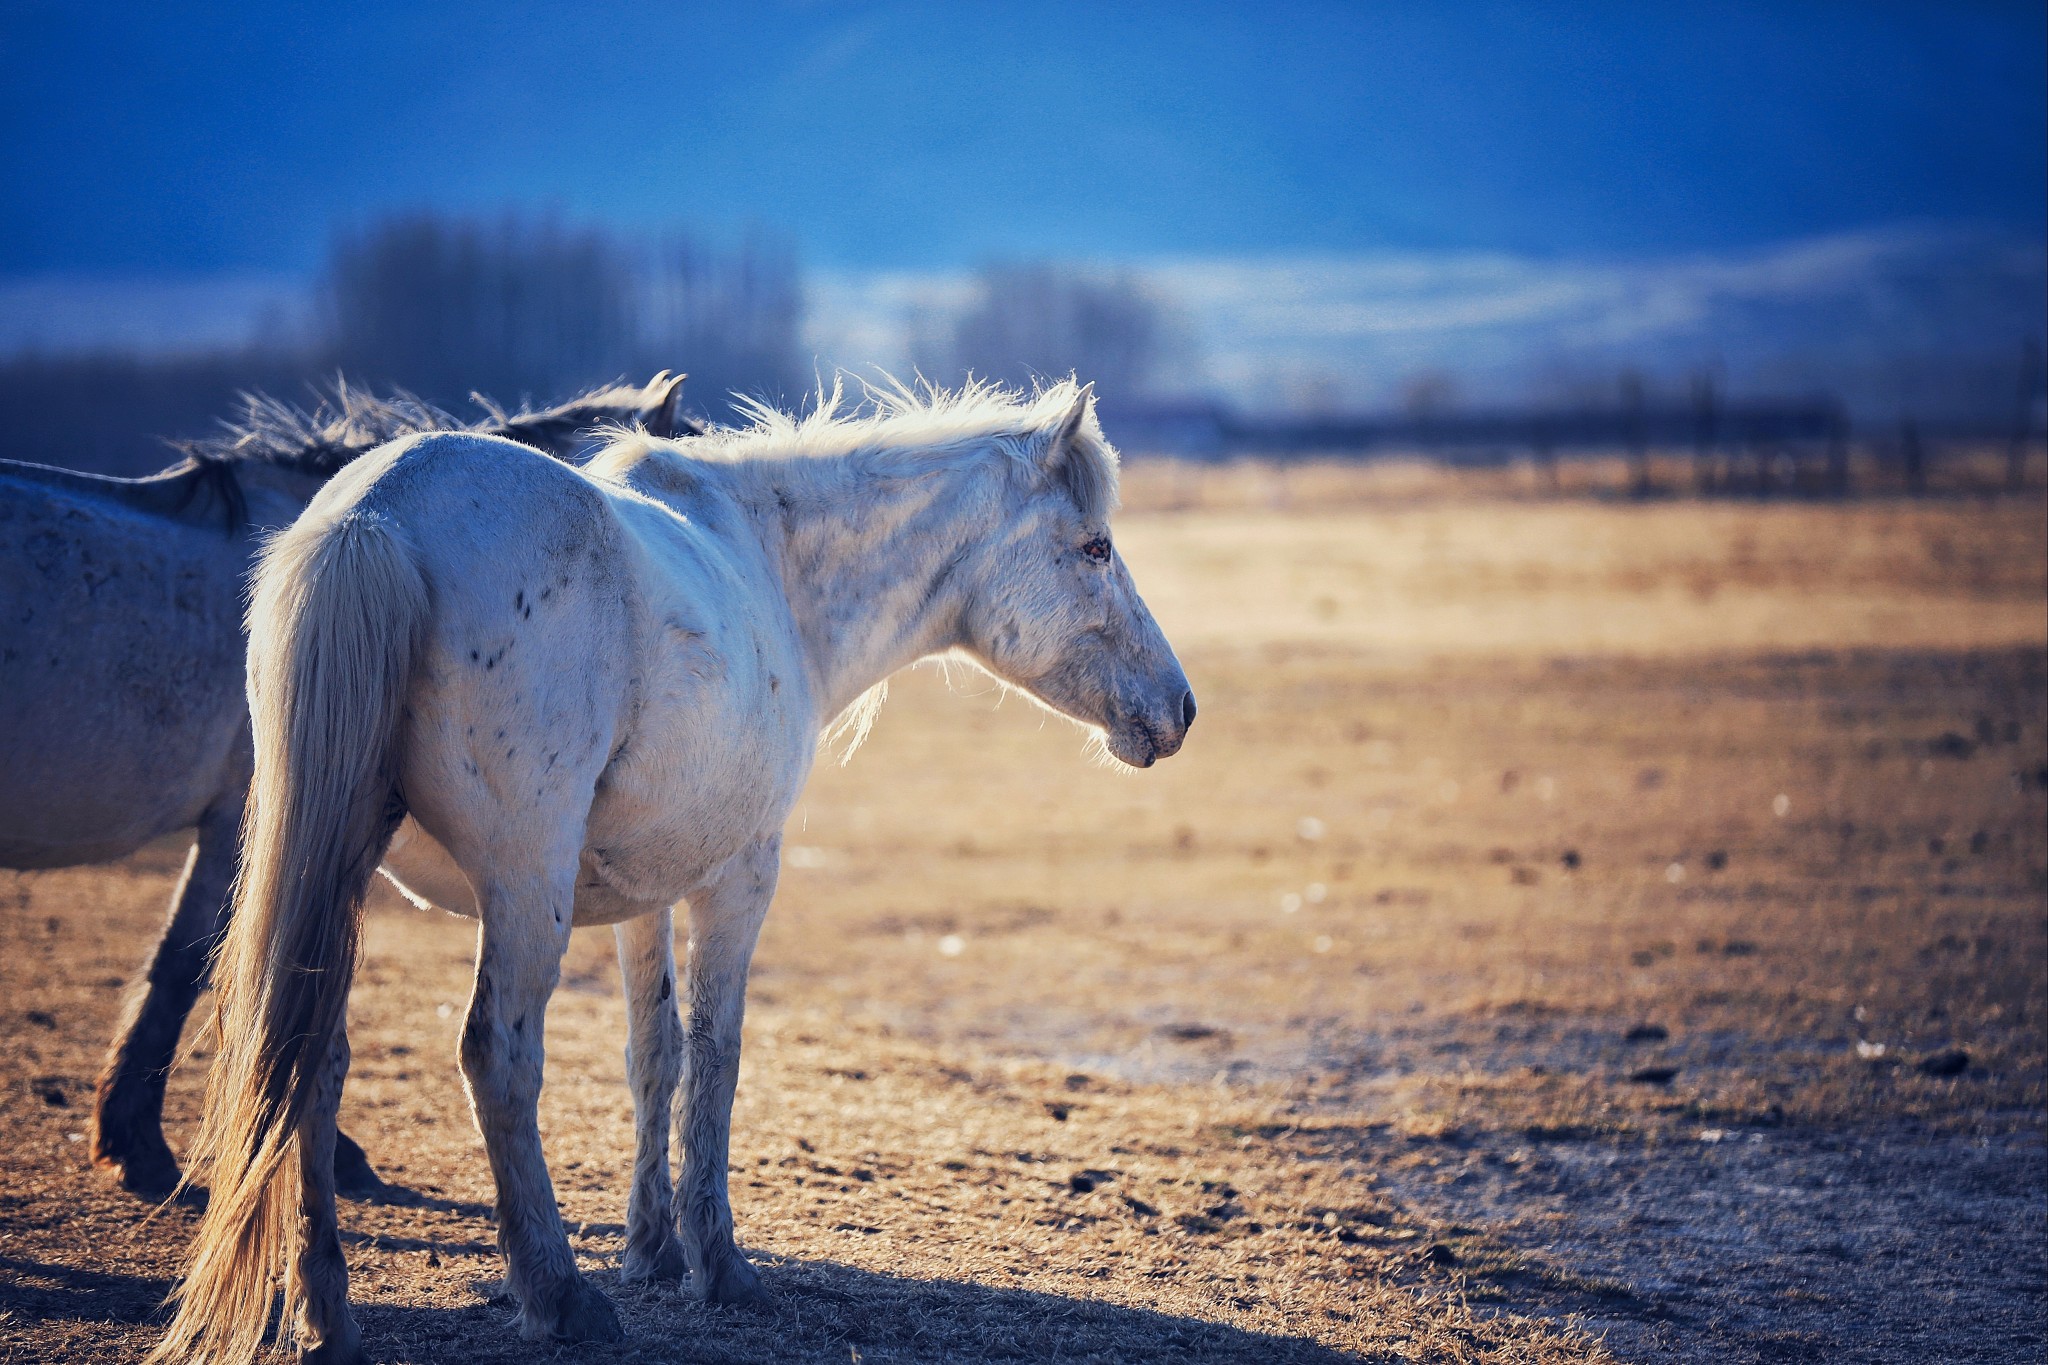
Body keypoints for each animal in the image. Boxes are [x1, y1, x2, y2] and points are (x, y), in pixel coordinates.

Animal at [151, 377, 1195, 1364]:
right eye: (1095, 548)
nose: (1180, 709)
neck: (772, 565)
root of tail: (374, 517)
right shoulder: (739, 879)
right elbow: (716, 1055)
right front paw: (718, 1263)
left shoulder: (638, 896)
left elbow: (653, 1052)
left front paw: (652, 1247)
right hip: (523, 889)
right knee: (497, 1054)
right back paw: (557, 1296)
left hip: (348, 868)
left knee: (312, 1059)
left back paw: (327, 1315)